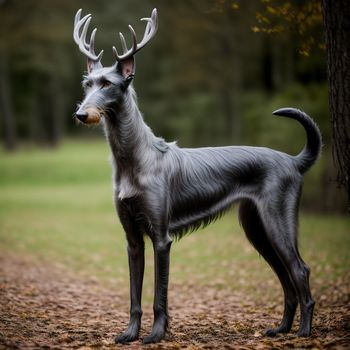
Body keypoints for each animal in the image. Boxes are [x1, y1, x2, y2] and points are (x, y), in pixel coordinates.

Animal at [72, 8, 322, 344]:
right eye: (88, 83)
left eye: (109, 84)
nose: (81, 114)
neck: (133, 160)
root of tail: (294, 161)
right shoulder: (132, 239)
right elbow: (134, 294)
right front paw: (130, 334)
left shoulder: (161, 237)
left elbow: (159, 295)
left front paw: (156, 334)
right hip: (256, 227)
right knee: (285, 276)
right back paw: (281, 328)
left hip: (277, 220)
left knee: (299, 270)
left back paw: (304, 332)